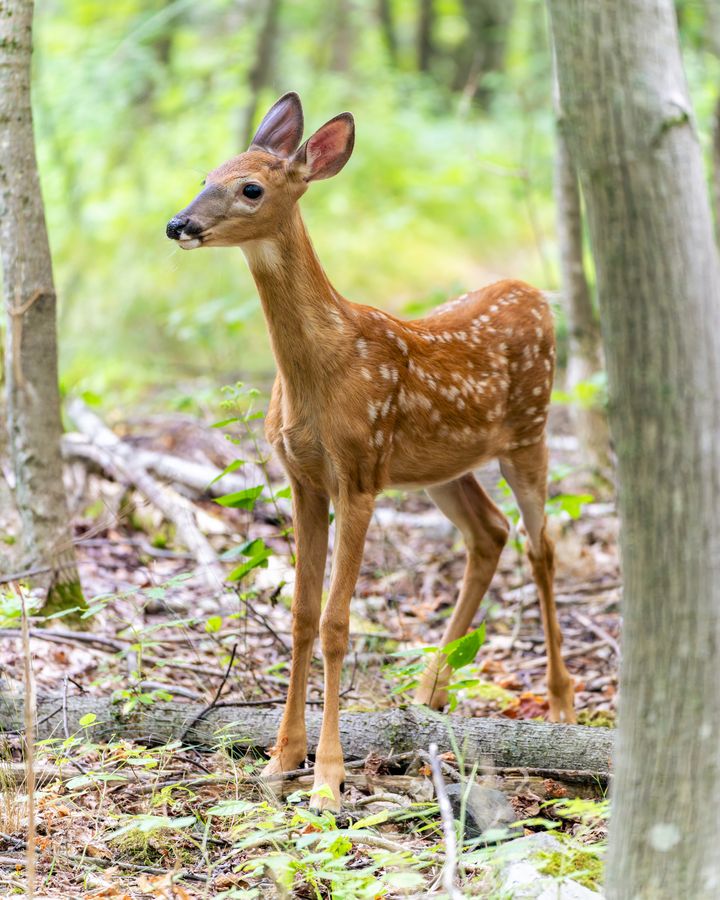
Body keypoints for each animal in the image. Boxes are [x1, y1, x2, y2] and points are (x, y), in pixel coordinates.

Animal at [166, 92, 576, 811]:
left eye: (251, 188)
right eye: (206, 174)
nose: (178, 224)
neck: (320, 370)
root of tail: (531, 293)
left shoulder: (357, 473)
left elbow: (337, 622)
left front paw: (327, 780)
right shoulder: (304, 479)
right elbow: (302, 614)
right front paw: (281, 760)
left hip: (529, 433)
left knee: (541, 546)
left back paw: (558, 704)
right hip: (440, 468)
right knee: (489, 533)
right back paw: (429, 694)